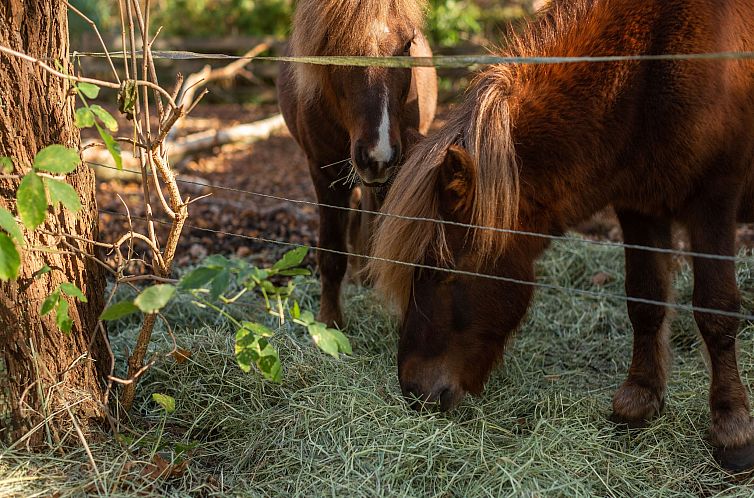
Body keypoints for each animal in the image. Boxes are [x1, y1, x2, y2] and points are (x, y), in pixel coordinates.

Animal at [280, 0, 438, 326]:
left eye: (407, 44)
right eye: (335, 44)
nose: (379, 154)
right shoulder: (324, 172)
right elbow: (332, 251)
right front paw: (329, 322)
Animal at [368, 0, 752, 470]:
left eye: (444, 271)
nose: (413, 390)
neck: (648, 68)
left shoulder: (714, 202)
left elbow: (716, 311)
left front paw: (732, 427)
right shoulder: (639, 206)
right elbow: (645, 299)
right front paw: (639, 400)